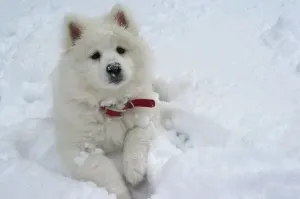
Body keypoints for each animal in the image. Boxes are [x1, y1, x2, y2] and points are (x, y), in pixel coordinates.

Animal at [51, 3, 164, 199]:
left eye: (121, 50)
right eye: (95, 55)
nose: (114, 68)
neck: (113, 105)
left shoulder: (146, 117)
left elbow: (135, 136)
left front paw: (134, 171)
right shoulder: (79, 149)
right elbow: (104, 169)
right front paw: (122, 193)